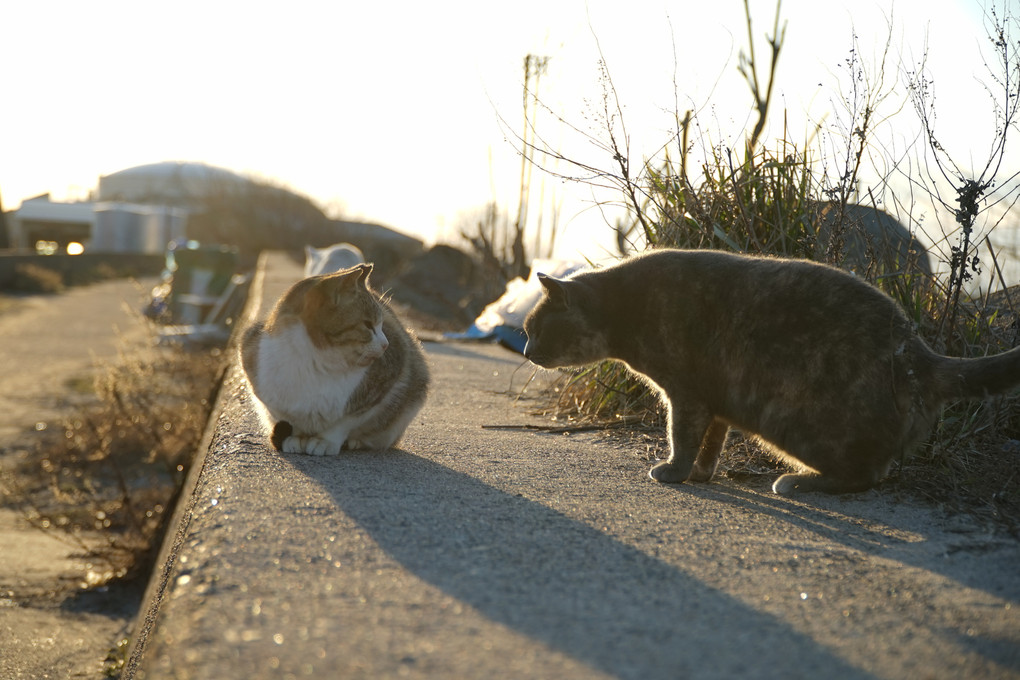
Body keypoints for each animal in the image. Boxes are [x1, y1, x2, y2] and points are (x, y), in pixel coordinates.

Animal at [240, 263, 428, 454]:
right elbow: (288, 417)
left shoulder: (389, 378)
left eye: (382, 326)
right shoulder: (252, 363)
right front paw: (297, 437)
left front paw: (325, 441)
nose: (386, 344)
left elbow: (343, 422)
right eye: (368, 325)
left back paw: (354, 442)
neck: (316, 362)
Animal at [526, 249, 1020, 495]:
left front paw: (674, 471)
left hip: (798, 422)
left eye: (535, 329)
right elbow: (710, 442)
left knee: (865, 474)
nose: (527, 350)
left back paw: (797, 482)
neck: (625, 310)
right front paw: (701, 473)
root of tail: (919, 354)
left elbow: (681, 436)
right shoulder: (715, 401)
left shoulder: (685, 394)